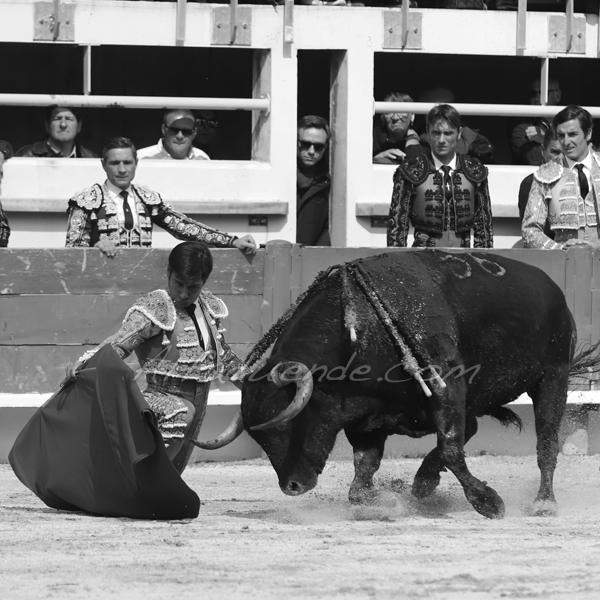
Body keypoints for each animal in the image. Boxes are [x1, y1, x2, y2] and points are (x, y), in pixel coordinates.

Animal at [204, 251, 592, 516]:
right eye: (260, 437)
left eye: (286, 426)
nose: (292, 487)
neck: (360, 334)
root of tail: (551, 287)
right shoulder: (364, 417)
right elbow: (364, 472)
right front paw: (389, 497)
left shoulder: (447, 386)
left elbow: (451, 448)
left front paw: (489, 502)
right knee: (473, 428)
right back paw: (423, 484)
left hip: (552, 378)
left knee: (546, 443)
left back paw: (544, 503)